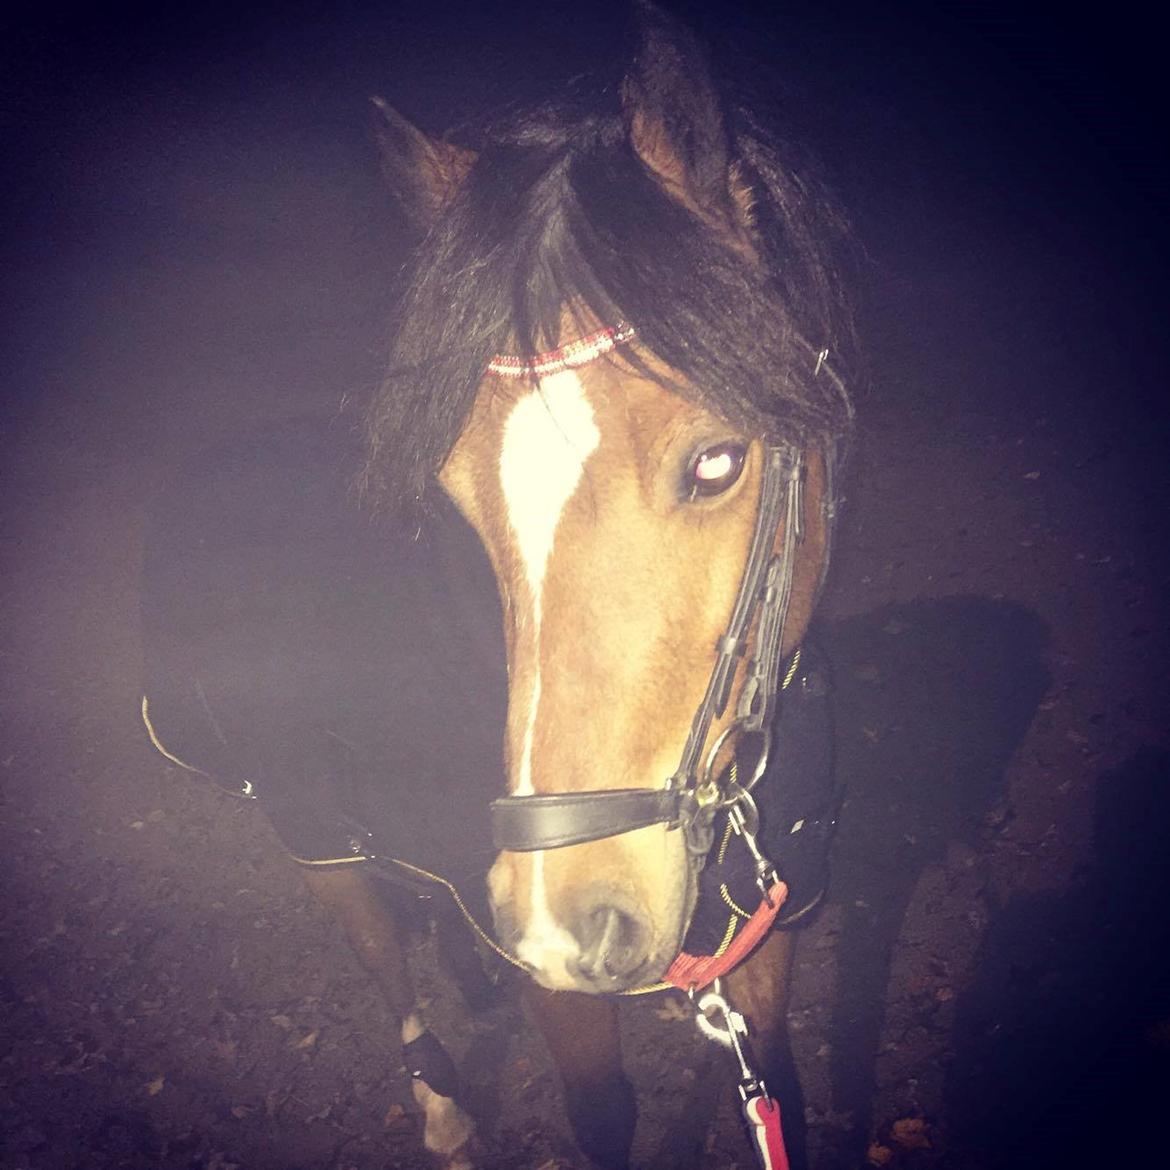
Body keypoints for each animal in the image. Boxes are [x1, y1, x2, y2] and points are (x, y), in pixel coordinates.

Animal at [140, 6, 854, 1168]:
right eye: (456, 496)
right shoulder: (564, 1002)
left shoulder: (769, 942)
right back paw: (438, 1093)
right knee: (382, 956)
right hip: (308, 827)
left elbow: (778, 1084)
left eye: (717, 462)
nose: (567, 922)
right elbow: (602, 1115)